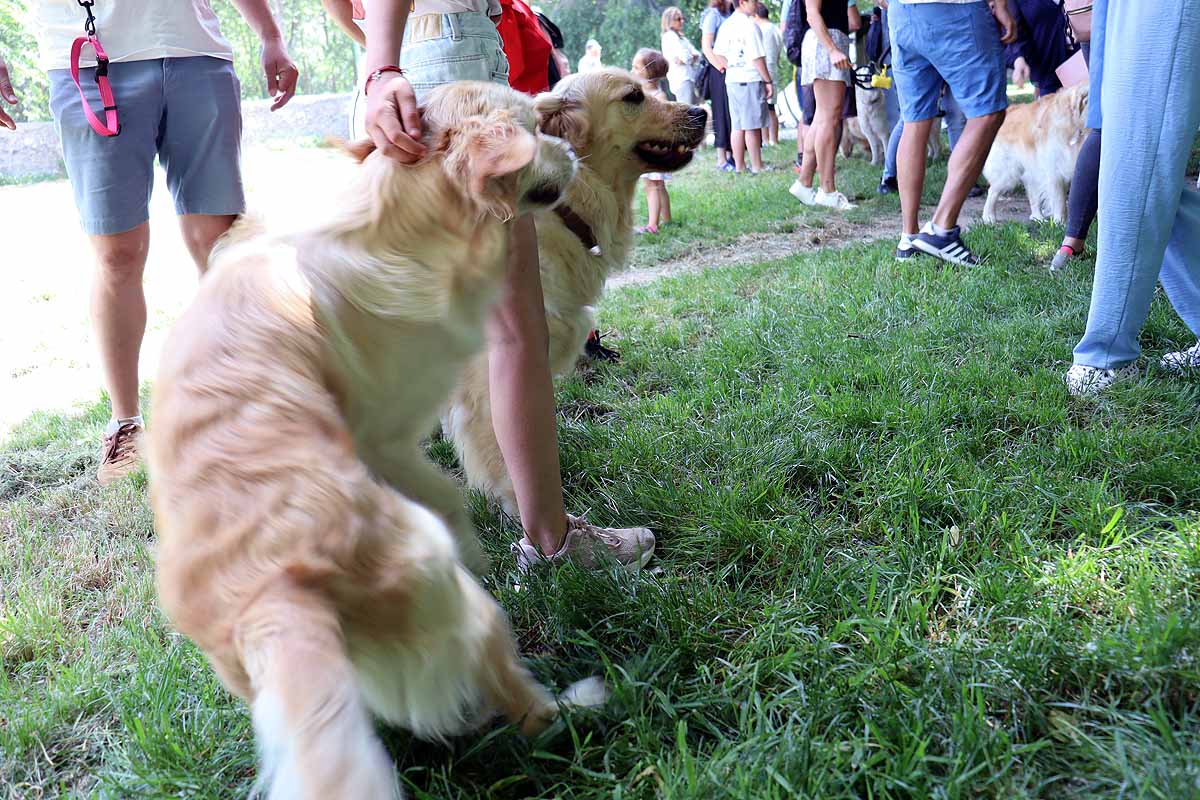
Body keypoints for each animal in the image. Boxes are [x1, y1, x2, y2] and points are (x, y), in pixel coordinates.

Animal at [148, 82, 600, 800]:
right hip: (453, 597)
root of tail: (276, 593)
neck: (395, 216)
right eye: (533, 126)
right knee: (514, 691)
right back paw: (572, 707)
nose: (573, 153)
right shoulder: (388, 425)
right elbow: (448, 481)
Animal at [984, 84, 1089, 225]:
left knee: (1032, 193)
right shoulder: (1054, 170)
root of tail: (1009, 111)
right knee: (992, 191)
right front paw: (1060, 223)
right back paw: (988, 216)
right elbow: (1060, 200)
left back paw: (1037, 217)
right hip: (1008, 172)